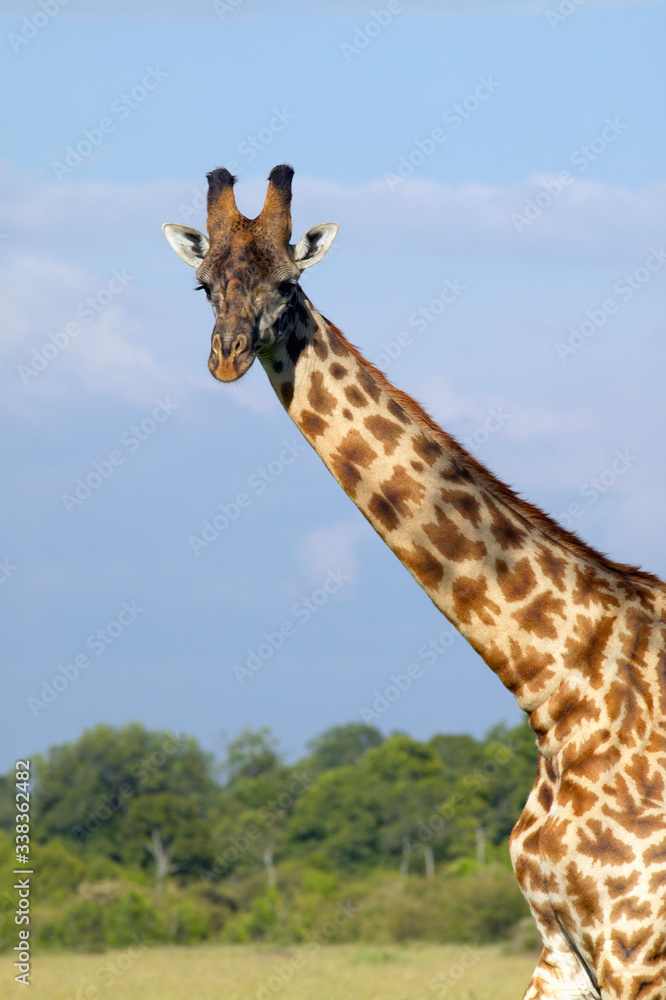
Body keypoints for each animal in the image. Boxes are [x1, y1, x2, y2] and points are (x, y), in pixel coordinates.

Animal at [162, 164, 664, 1000]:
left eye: (289, 283)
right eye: (202, 284)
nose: (226, 356)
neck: (560, 686)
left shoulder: (636, 935)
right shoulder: (562, 945)